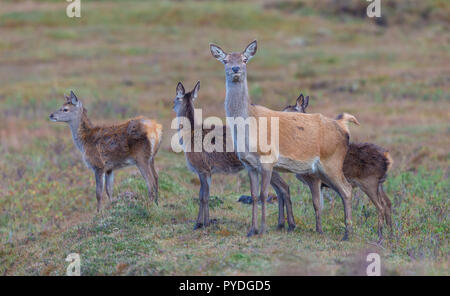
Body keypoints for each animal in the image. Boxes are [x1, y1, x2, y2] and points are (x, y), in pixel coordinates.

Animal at [172, 82, 296, 230]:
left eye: (175, 98)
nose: (172, 105)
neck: (189, 136)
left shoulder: (202, 167)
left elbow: (203, 196)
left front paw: (201, 223)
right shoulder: (207, 170)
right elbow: (204, 194)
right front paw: (205, 222)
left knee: (284, 187)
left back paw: (291, 225)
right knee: (280, 188)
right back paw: (282, 224)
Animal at [210, 41, 358, 240]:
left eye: (245, 59)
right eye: (225, 60)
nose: (235, 69)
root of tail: (344, 127)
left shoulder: (267, 159)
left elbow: (264, 194)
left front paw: (262, 229)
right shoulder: (249, 164)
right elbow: (254, 195)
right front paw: (251, 230)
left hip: (332, 162)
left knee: (347, 190)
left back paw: (347, 234)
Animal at [284, 93, 394, 242]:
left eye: (288, 111)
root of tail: (387, 158)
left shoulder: (314, 179)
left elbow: (316, 204)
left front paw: (319, 231)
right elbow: (321, 205)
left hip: (369, 182)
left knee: (381, 206)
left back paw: (380, 237)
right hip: (379, 184)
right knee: (388, 203)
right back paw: (391, 235)